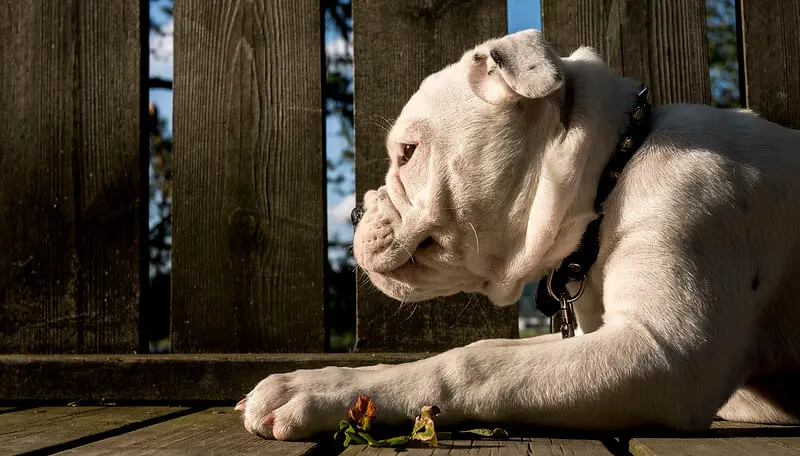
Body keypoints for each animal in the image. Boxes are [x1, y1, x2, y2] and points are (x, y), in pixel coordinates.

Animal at [238, 29, 800, 442]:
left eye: (409, 152)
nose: (354, 212)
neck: (613, 171)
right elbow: (490, 348)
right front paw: (330, 382)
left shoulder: (660, 352)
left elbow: (475, 362)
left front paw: (315, 396)